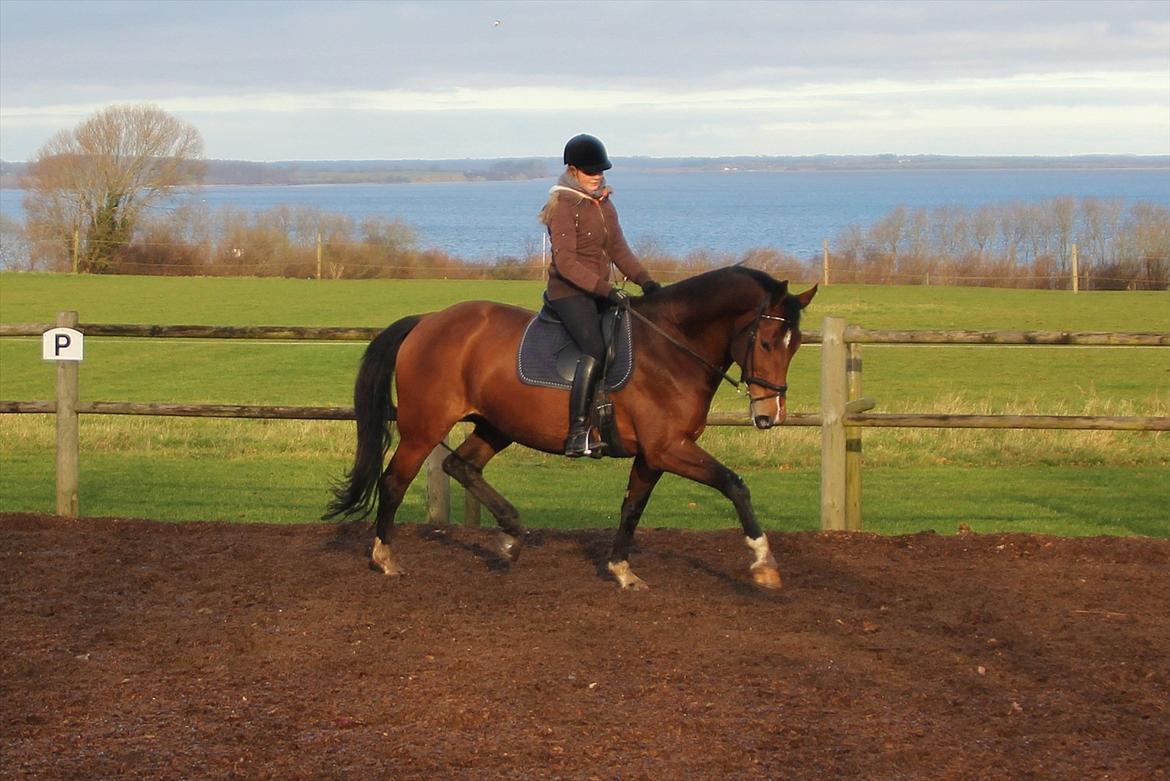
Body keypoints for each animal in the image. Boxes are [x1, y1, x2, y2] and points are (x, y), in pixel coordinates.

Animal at [325, 268, 819, 591]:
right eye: (767, 342)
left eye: (796, 345)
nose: (770, 414)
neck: (672, 347)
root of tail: (427, 320)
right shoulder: (669, 448)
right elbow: (735, 485)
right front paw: (763, 561)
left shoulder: (654, 454)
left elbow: (632, 508)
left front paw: (621, 570)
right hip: (423, 428)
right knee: (394, 481)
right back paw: (386, 558)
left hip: (497, 425)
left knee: (460, 466)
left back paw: (511, 537)